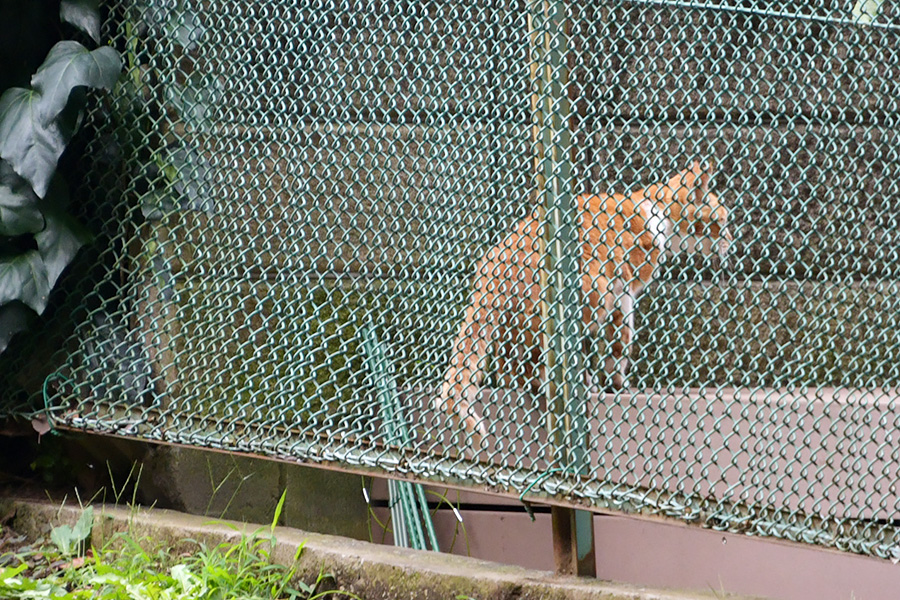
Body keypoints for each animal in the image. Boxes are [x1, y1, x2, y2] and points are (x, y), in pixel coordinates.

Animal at [438, 161, 732, 446]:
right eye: (723, 220)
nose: (731, 242)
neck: (658, 212)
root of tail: (496, 262)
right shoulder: (622, 293)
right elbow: (620, 342)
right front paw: (617, 382)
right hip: (587, 291)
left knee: (509, 367)